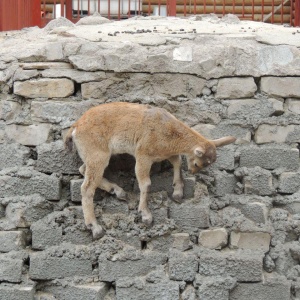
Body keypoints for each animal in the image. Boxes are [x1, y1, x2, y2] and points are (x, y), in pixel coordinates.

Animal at [64, 102, 236, 239]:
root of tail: (75, 127)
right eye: (198, 163)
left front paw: (178, 192)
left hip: (93, 155)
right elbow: (145, 183)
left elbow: (177, 162)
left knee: (83, 169)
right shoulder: (143, 155)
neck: (168, 131)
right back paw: (95, 227)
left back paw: (118, 191)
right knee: (86, 187)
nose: (193, 172)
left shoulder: (166, 153)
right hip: (97, 154)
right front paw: (145, 215)